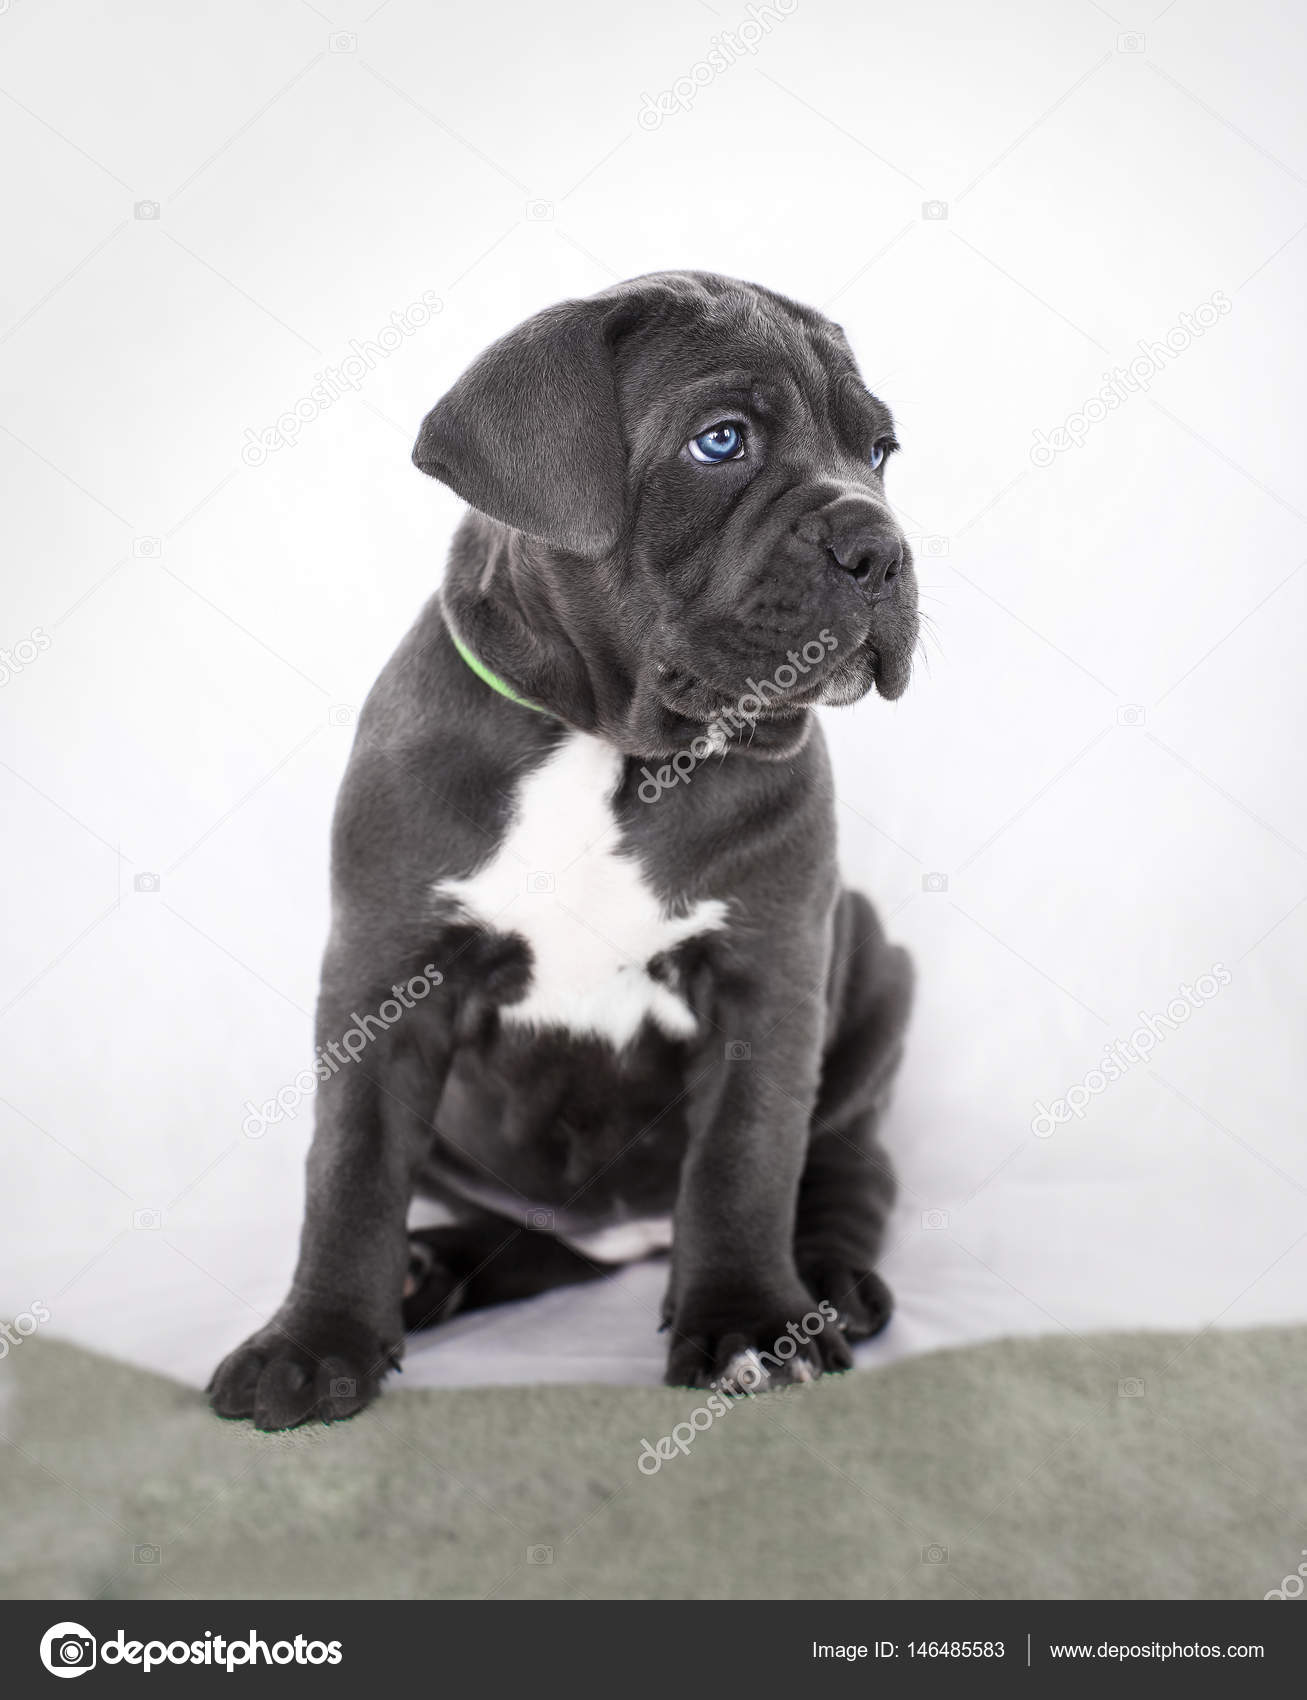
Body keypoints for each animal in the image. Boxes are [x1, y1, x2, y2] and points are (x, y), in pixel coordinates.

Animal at [209, 268, 910, 1434]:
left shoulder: (769, 974)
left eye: (880, 452)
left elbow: (746, 1158)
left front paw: (750, 1327)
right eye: (721, 442)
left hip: (876, 972)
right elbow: (349, 1164)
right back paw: (424, 1271)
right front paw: (313, 1343)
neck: (609, 747)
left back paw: (827, 1281)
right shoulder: (384, 973)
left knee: (848, 1166)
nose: (883, 547)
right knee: (521, 1242)